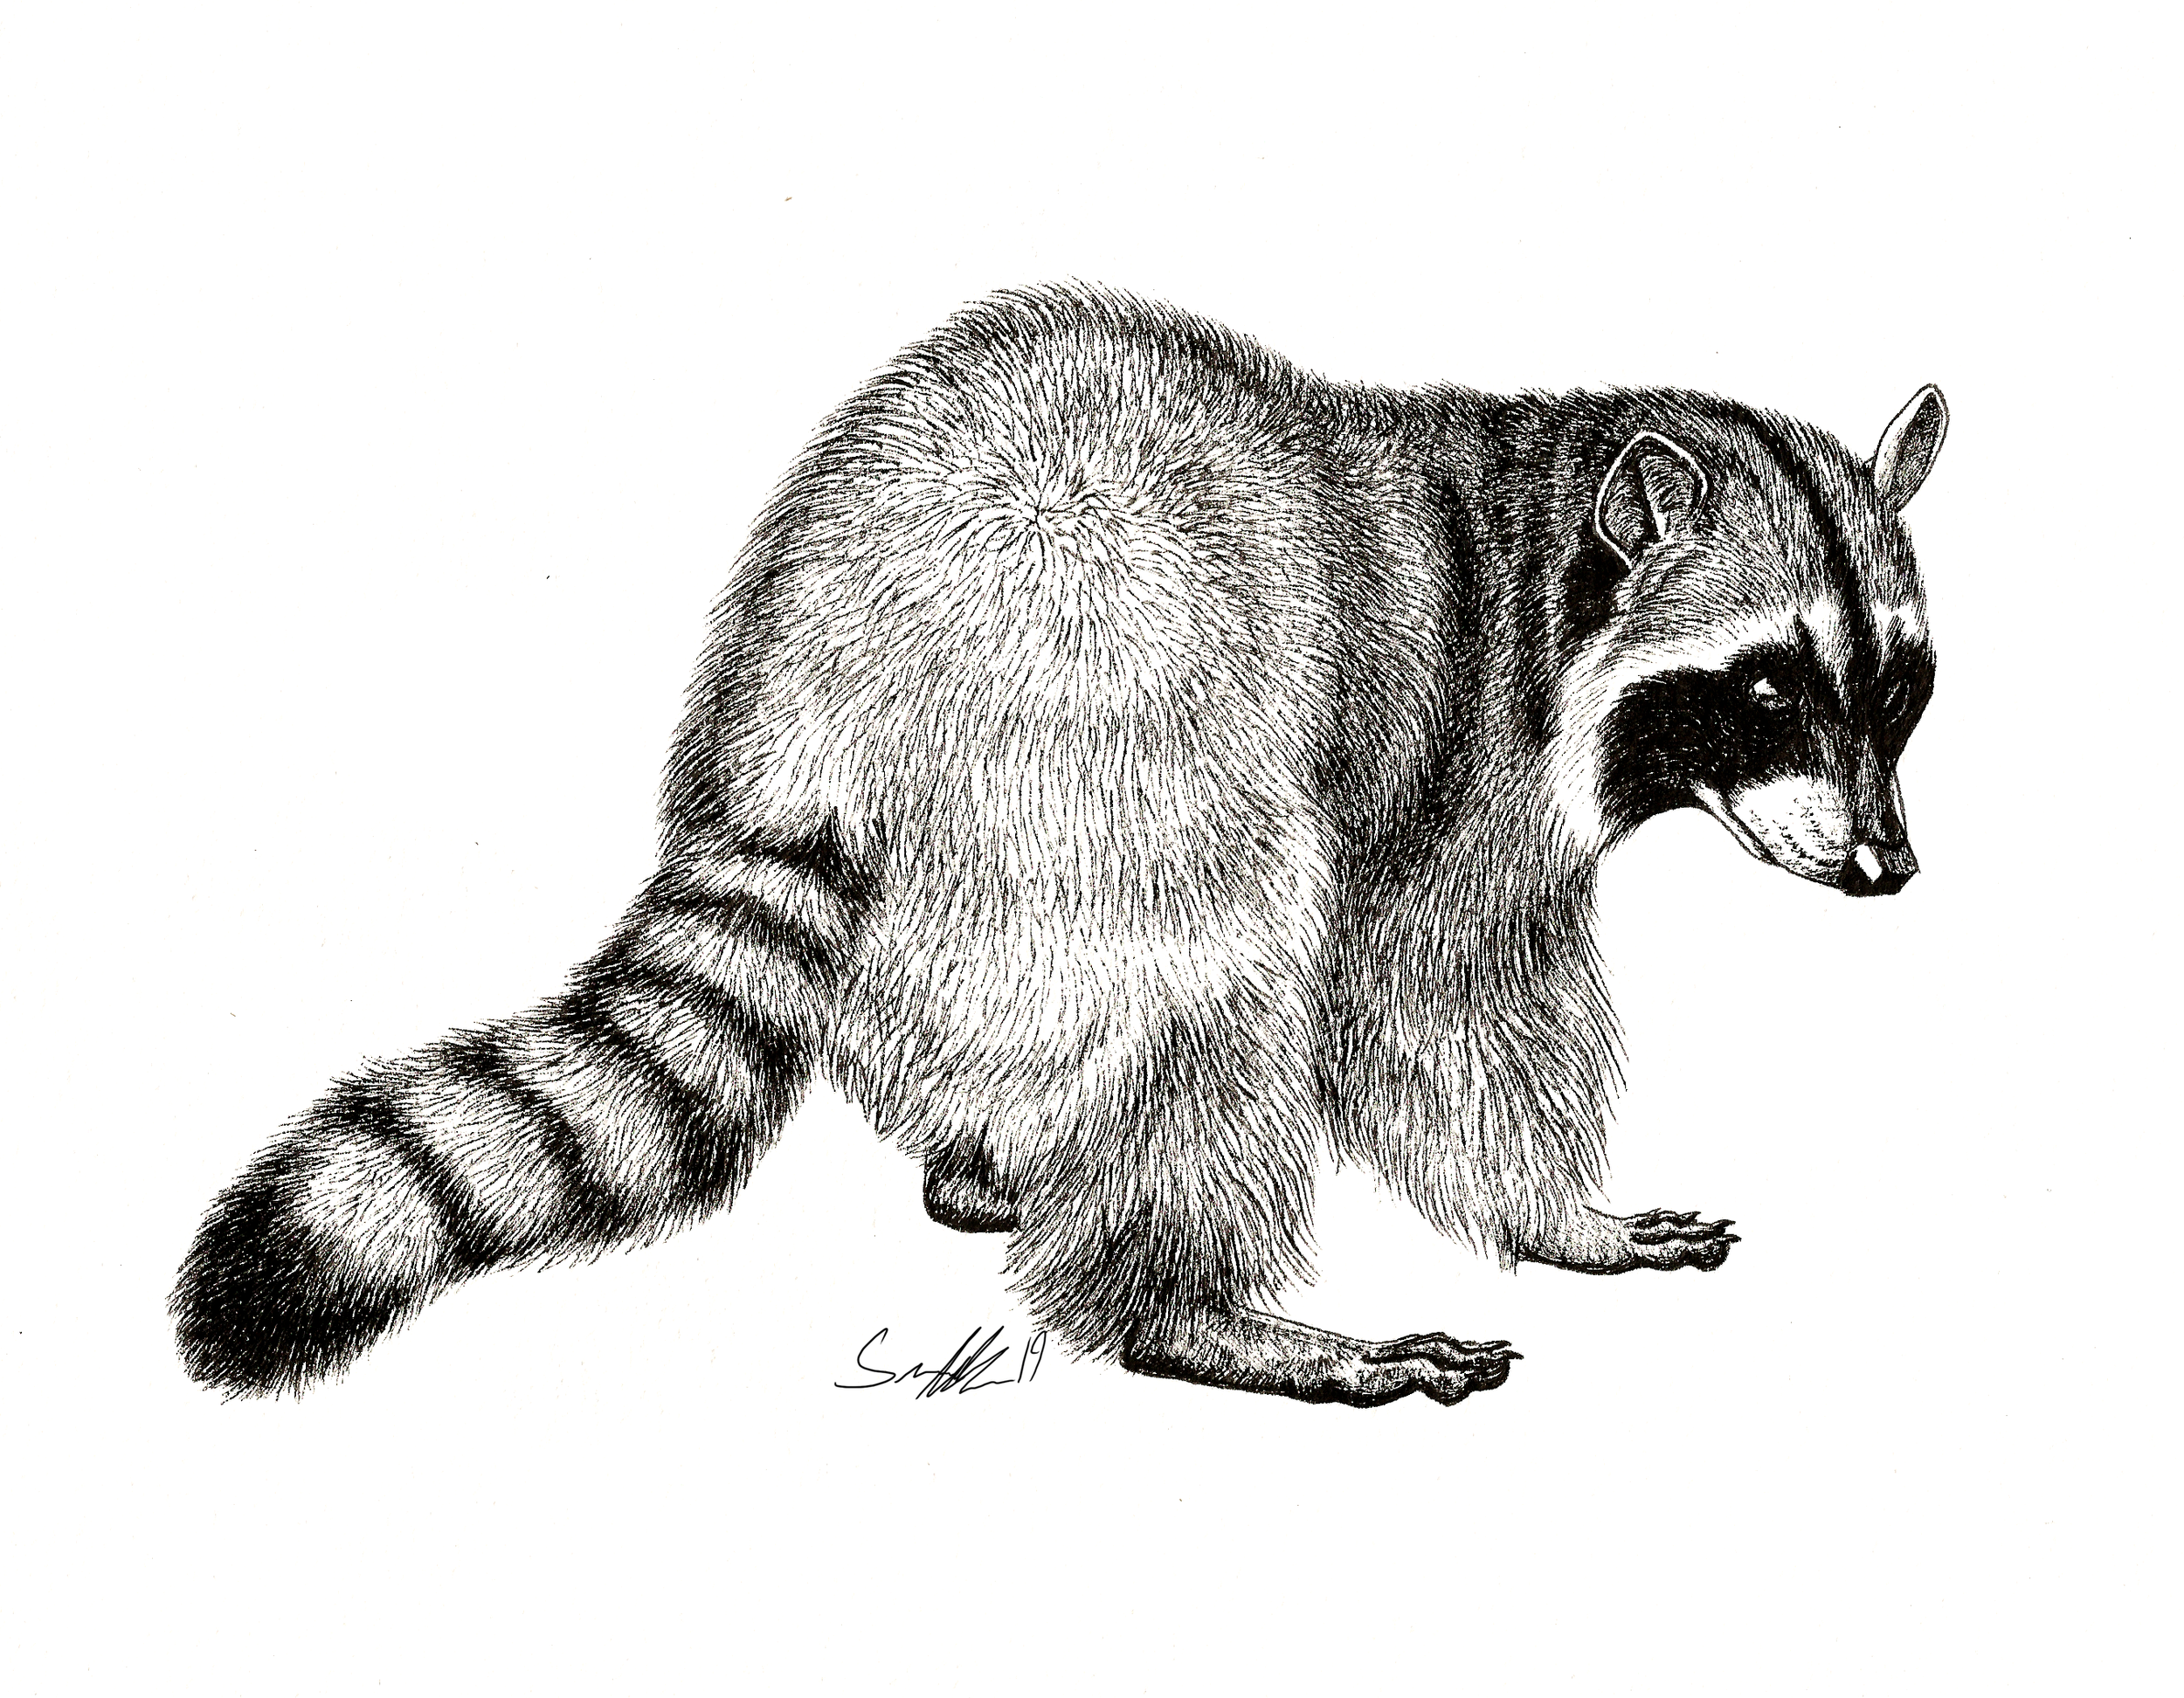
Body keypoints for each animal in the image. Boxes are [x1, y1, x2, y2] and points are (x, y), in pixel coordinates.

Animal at [172, 285, 1946, 1407]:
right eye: (1769, 684)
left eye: (1899, 684)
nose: (1889, 870)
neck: (1543, 537)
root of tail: (793, 697)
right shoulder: (1460, 775)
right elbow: (1443, 1011)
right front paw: (1552, 1215)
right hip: (1096, 732)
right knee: (1228, 974)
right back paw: (1191, 1308)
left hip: (969, 879)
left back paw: (994, 1164)